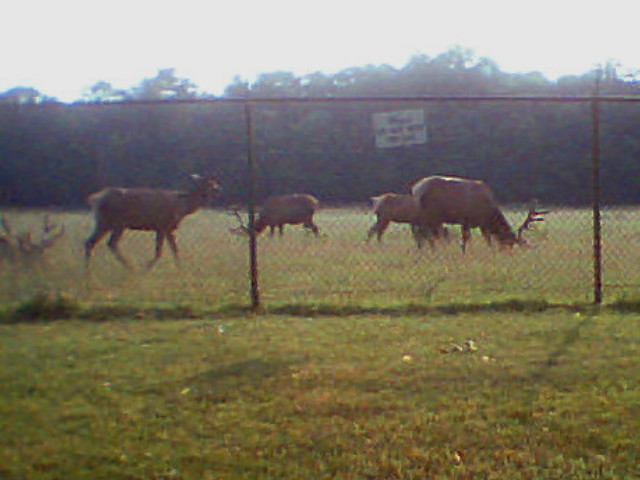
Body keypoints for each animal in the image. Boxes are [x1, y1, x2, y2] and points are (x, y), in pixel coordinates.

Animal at [84, 174, 222, 270]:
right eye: (211, 185)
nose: (218, 190)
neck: (182, 208)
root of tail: (96, 199)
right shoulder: (164, 226)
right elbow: (162, 252)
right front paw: (147, 269)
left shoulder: (165, 228)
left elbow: (171, 251)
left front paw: (180, 269)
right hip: (116, 223)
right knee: (110, 243)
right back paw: (131, 268)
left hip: (104, 222)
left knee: (90, 243)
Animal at [411, 175, 547, 252]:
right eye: (509, 243)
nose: (505, 252)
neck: (489, 214)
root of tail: (416, 189)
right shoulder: (467, 219)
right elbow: (468, 239)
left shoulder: (479, 224)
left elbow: (484, 239)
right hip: (430, 215)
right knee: (423, 234)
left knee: (420, 234)